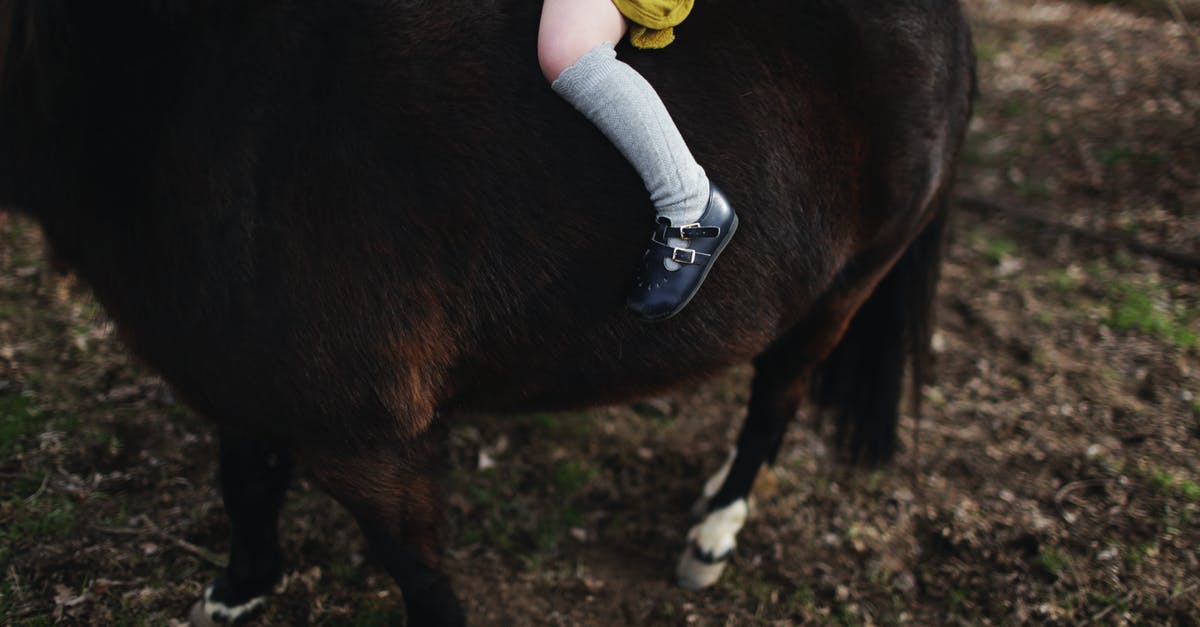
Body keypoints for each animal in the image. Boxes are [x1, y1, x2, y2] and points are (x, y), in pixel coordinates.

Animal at [0, 2, 974, 619]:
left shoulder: (366, 435)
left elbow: (416, 570)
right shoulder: (239, 374)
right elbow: (245, 481)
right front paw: (238, 592)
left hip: (842, 288)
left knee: (777, 396)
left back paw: (711, 533)